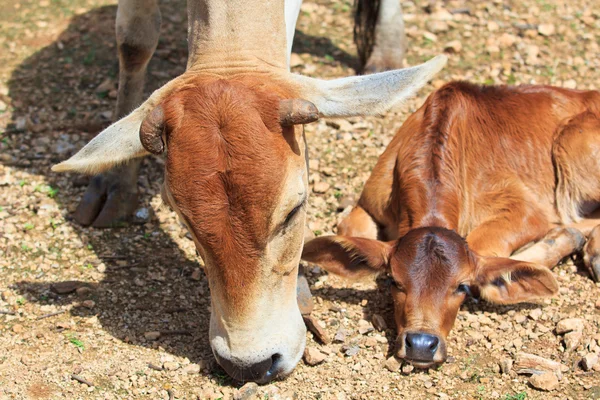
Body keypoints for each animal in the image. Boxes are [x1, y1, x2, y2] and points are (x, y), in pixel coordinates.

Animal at [302, 81, 600, 368]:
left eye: (461, 287)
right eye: (395, 282)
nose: (421, 344)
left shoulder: (528, 210)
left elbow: (486, 260)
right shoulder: (368, 204)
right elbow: (349, 231)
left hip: (572, 147)